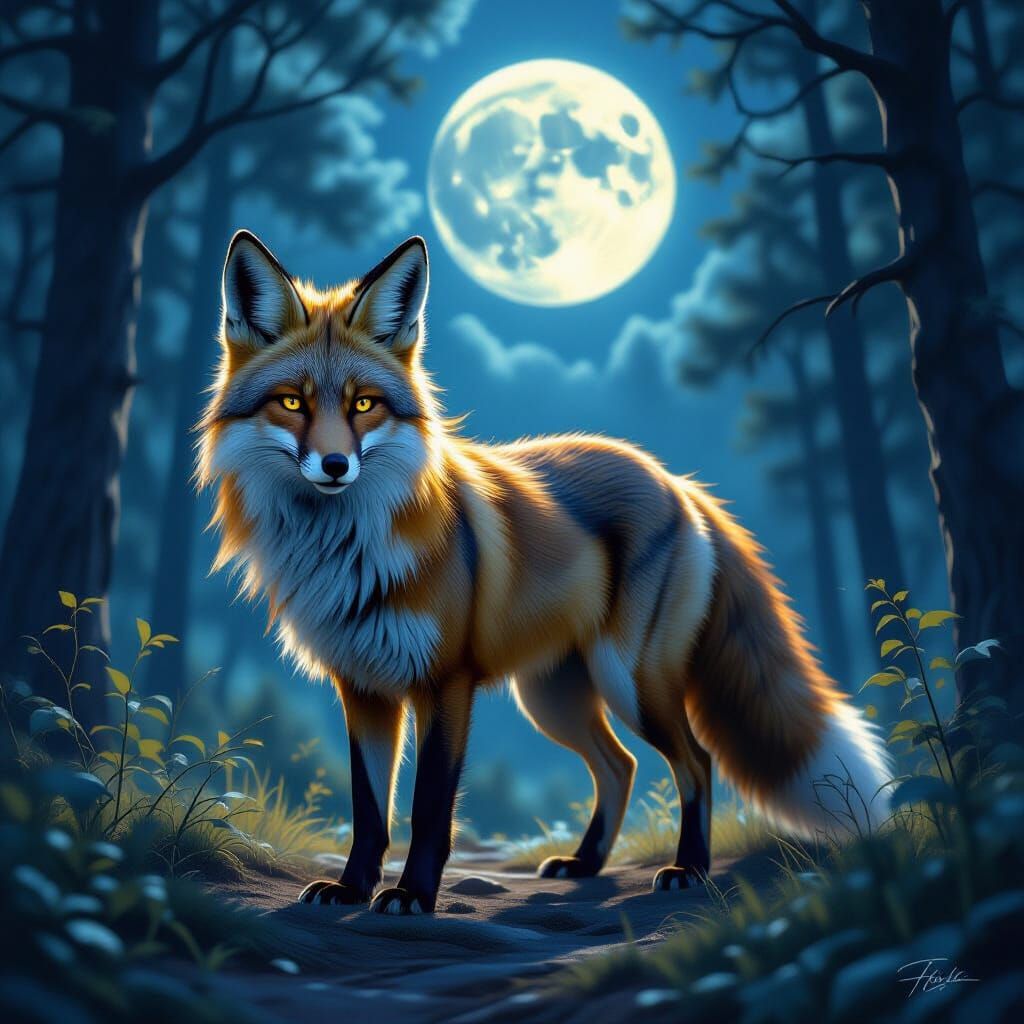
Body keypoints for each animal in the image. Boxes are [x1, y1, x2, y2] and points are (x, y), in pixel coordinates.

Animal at [197, 229, 892, 915]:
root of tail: (675, 480)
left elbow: (428, 809)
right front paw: (351, 889)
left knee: (694, 761)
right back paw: (585, 863)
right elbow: (370, 810)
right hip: (553, 698)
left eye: (363, 404)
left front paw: (413, 895)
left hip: (629, 680)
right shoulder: (363, 687)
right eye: (292, 403)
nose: (336, 465)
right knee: (620, 766)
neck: (346, 553)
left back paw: (688, 869)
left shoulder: (445, 684)